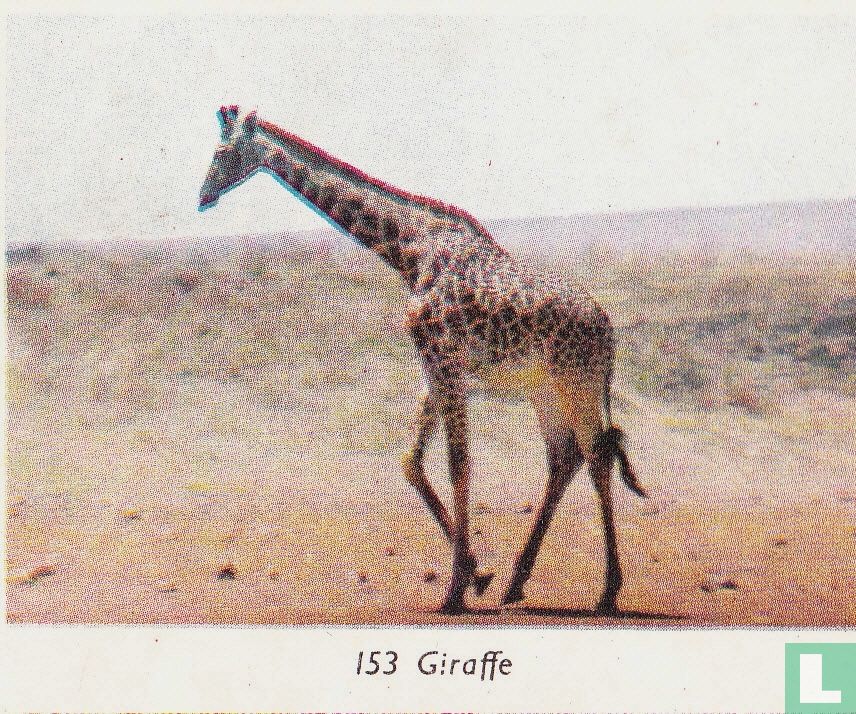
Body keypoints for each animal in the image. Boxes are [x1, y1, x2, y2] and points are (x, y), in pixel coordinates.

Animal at [198, 106, 649, 615]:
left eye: (220, 151)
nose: (203, 197)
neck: (409, 251)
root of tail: (608, 329)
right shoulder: (434, 366)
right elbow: (411, 462)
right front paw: (477, 575)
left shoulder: (445, 361)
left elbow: (458, 464)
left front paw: (454, 591)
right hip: (544, 390)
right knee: (564, 457)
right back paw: (516, 584)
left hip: (578, 382)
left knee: (597, 456)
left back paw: (608, 592)